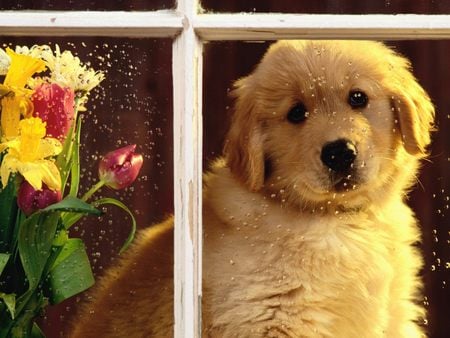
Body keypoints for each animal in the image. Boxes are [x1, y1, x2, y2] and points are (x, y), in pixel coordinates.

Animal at [72, 40, 434, 338]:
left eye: (358, 98)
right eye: (296, 113)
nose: (339, 153)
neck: (337, 220)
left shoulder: (395, 313)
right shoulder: (270, 318)